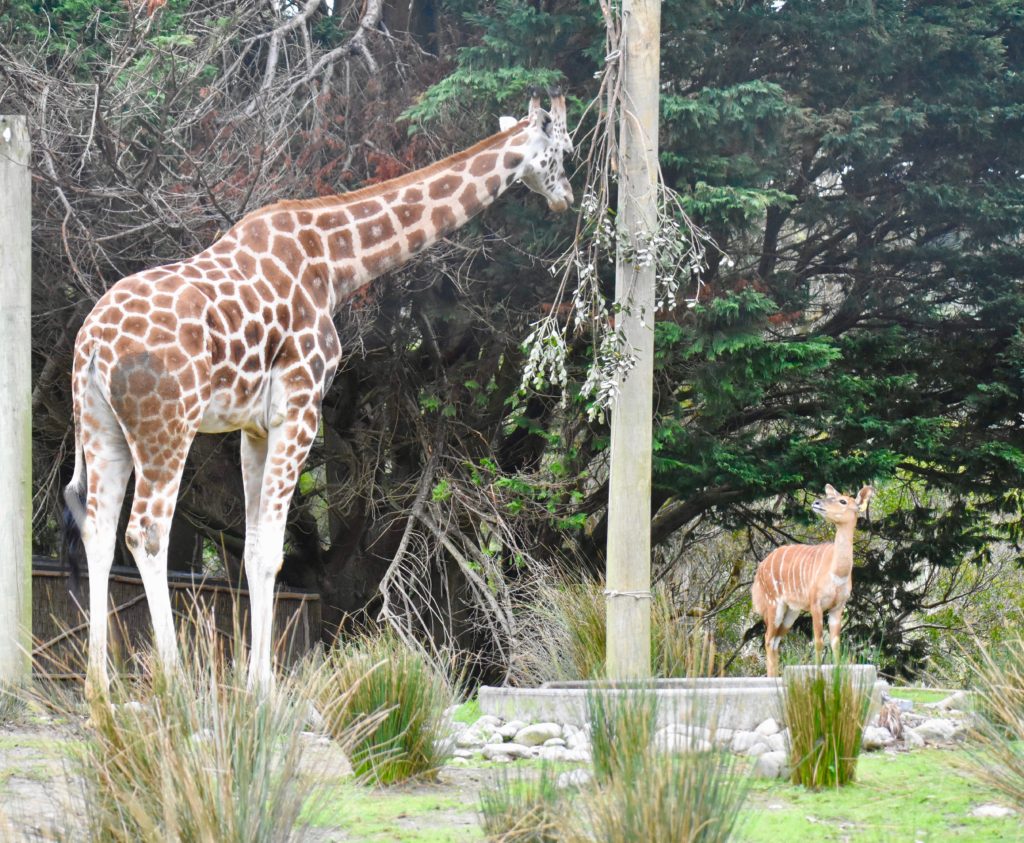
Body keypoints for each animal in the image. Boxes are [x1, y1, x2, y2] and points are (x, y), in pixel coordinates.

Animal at [65, 89, 577, 696]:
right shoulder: (301, 406)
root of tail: (92, 344)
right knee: (146, 531)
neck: (335, 262)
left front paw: (254, 683)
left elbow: (255, 549)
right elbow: (271, 554)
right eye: (566, 150)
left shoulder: (254, 427)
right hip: (166, 424)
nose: (567, 199)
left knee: (99, 528)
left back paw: (100, 688)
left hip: (102, 427)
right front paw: (264, 690)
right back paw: (173, 682)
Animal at [753, 485, 872, 676]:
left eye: (843, 501)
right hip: (774, 604)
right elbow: (818, 641)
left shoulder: (838, 607)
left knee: (776, 641)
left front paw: (837, 675)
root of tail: (760, 569)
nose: (816, 502)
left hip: (791, 611)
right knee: (768, 639)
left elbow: (835, 643)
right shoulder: (816, 604)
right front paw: (817, 675)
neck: (837, 574)